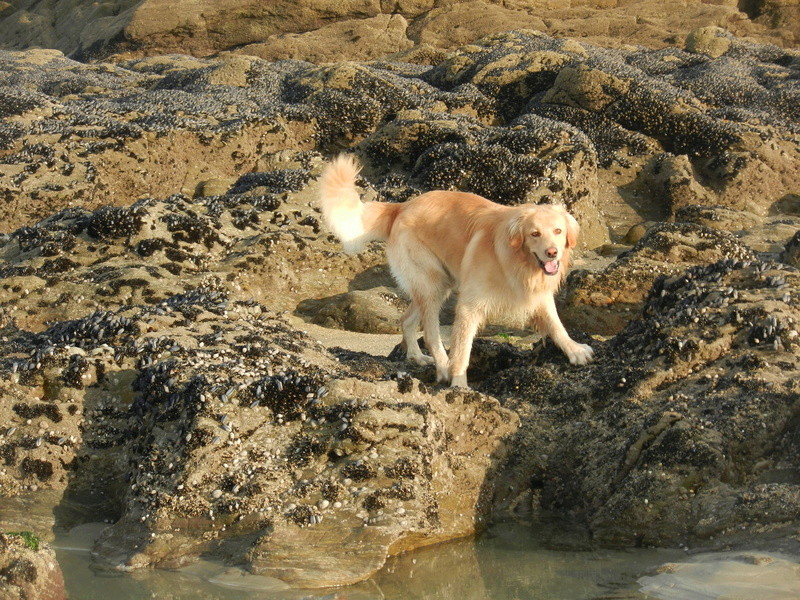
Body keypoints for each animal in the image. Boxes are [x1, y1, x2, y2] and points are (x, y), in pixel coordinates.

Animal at [318, 155, 592, 386]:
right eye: (534, 234)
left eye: (558, 231)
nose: (552, 253)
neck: (517, 261)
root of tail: (403, 206)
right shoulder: (470, 306)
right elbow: (461, 352)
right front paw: (459, 385)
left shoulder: (539, 295)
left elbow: (556, 324)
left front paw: (575, 349)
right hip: (432, 281)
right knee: (431, 333)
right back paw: (442, 366)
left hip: (437, 284)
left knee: (406, 319)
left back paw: (417, 357)